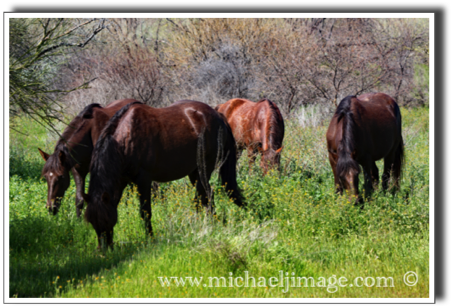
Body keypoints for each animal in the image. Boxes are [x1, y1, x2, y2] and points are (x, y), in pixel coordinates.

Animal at [83, 100, 244, 249]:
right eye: (91, 221)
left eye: (105, 219)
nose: (104, 249)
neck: (125, 139)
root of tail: (218, 115)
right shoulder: (123, 181)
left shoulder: (144, 181)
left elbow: (145, 212)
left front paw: (150, 239)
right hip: (194, 173)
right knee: (207, 196)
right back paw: (212, 224)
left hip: (204, 169)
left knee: (201, 198)